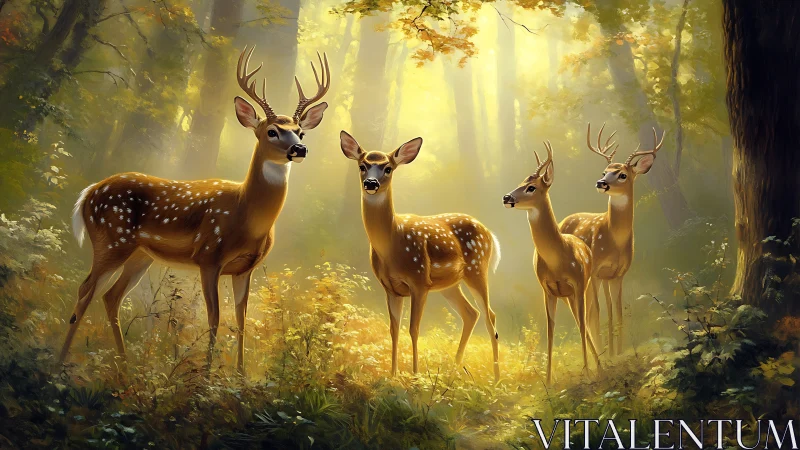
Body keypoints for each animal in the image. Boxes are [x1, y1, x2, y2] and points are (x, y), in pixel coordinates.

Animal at [61, 46, 331, 374]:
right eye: (271, 131)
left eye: (300, 132)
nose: (299, 150)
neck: (246, 215)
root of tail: (88, 194)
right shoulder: (208, 256)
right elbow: (214, 318)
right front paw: (205, 374)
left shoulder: (246, 268)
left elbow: (241, 320)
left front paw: (240, 375)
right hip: (112, 240)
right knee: (85, 289)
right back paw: (58, 364)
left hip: (140, 254)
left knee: (110, 296)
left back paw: (124, 369)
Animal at [339, 131, 502, 381]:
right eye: (362, 166)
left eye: (388, 168)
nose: (371, 183)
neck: (392, 243)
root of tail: (490, 233)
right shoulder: (390, 288)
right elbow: (394, 329)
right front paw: (393, 374)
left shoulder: (419, 281)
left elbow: (414, 329)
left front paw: (415, 375)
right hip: (449, 285)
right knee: (470, 313)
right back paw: (454, 368)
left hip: (476, 269)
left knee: (489, 315)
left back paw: (495, 376)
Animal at [503, 141, 601, 384]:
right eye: (520, 183)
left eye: (531, 187)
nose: (506, 198)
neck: (558, 259)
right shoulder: (547, 289)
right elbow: (550, 329)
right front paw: (547, 380)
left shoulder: (577, 283)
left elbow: (580, 324)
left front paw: (586, 373)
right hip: (567, 296)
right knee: (579, 320)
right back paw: (599, 365)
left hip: (583, 287)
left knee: (584, 320)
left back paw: (598, 366)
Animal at [559, 123, 663, 356]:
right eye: (604, 172)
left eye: (622, 174)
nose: (601, 183)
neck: (614, 240)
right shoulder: (596, 270)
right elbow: (597, 312)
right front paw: (605, 355)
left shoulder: (618, 274)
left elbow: (617, 311)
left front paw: (619, 353)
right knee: (585, 310)